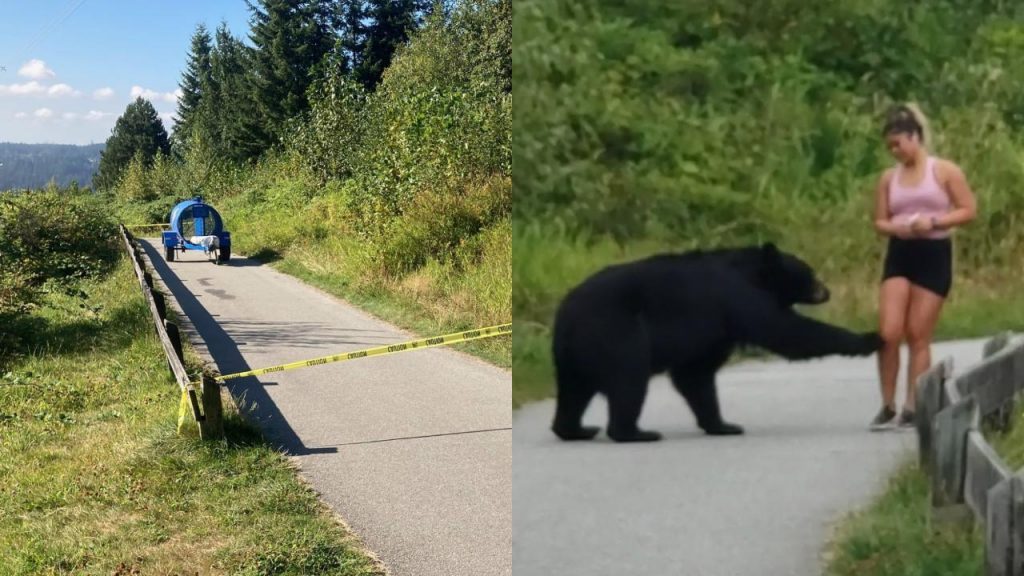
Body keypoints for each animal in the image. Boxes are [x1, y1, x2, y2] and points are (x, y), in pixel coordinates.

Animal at [552, 240, 880, 438]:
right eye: (810, 273)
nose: (826, 291)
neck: (753, 274)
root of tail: (566, 315)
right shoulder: (737, 299)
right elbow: (787, 332)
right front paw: (869, 338)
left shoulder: (715, 328)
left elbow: (695, 375)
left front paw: (723, 425)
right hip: (616, 332)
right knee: (629, 377)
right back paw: (634, 433)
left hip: (573, 355)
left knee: (573, 392)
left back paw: (576, 429)